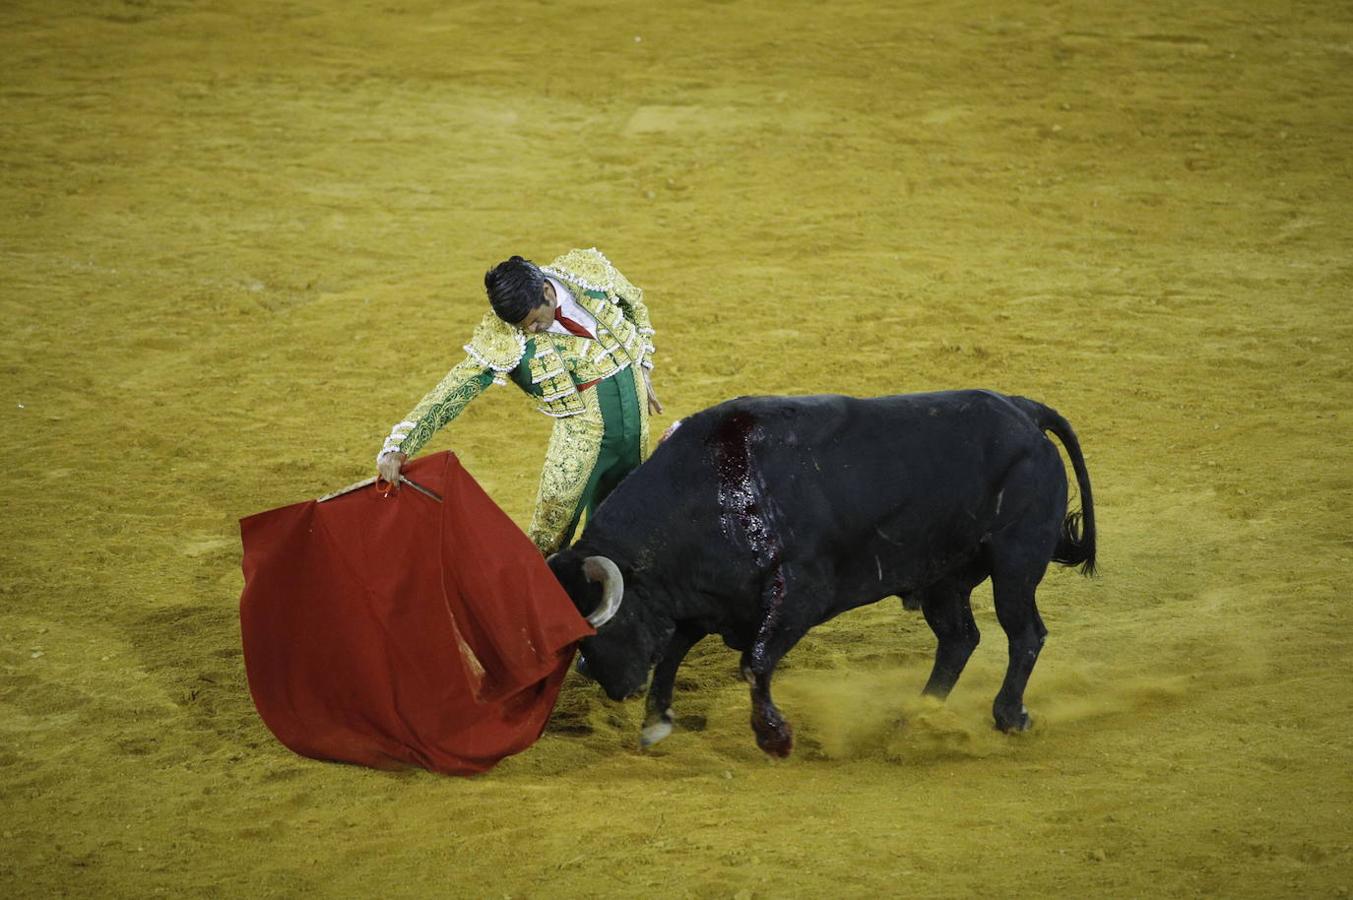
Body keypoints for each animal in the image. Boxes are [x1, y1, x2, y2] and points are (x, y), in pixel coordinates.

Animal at [543, 389, 1093, 752]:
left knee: (1025, 633)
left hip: (1015, 562)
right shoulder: (709, 601)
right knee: (959, 639)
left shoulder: (799, 593)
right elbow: (675, 651)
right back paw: (915, 717)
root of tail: (1023, 411)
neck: (711, 494)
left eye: (601, 628)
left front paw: (775, 737)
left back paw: (1009, 716)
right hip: (943, 577)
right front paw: (656, 722)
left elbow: (755, 662)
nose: (614, 687)